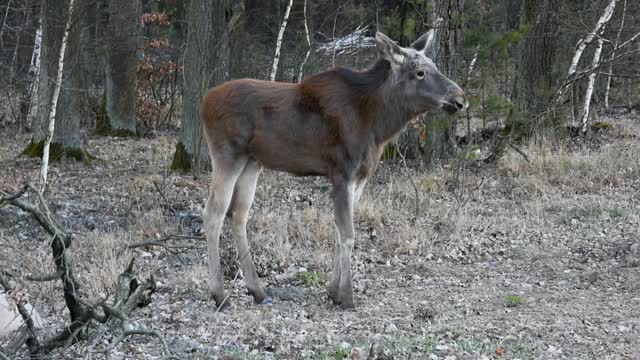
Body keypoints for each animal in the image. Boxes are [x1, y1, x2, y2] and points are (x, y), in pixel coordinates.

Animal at [200, 30, 464, 310]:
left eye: (434, 66)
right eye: (420, 72)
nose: (460, 99)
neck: (378, 124)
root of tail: (204, 102)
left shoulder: (358, 178)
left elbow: (339, 232)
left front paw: (333, 291)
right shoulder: (341, 172)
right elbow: (347, 234)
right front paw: (346, 296)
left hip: (252, 162)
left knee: (238, 214)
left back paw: (257, 290)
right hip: (227, 156)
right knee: (214, 213)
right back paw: (219, 294)